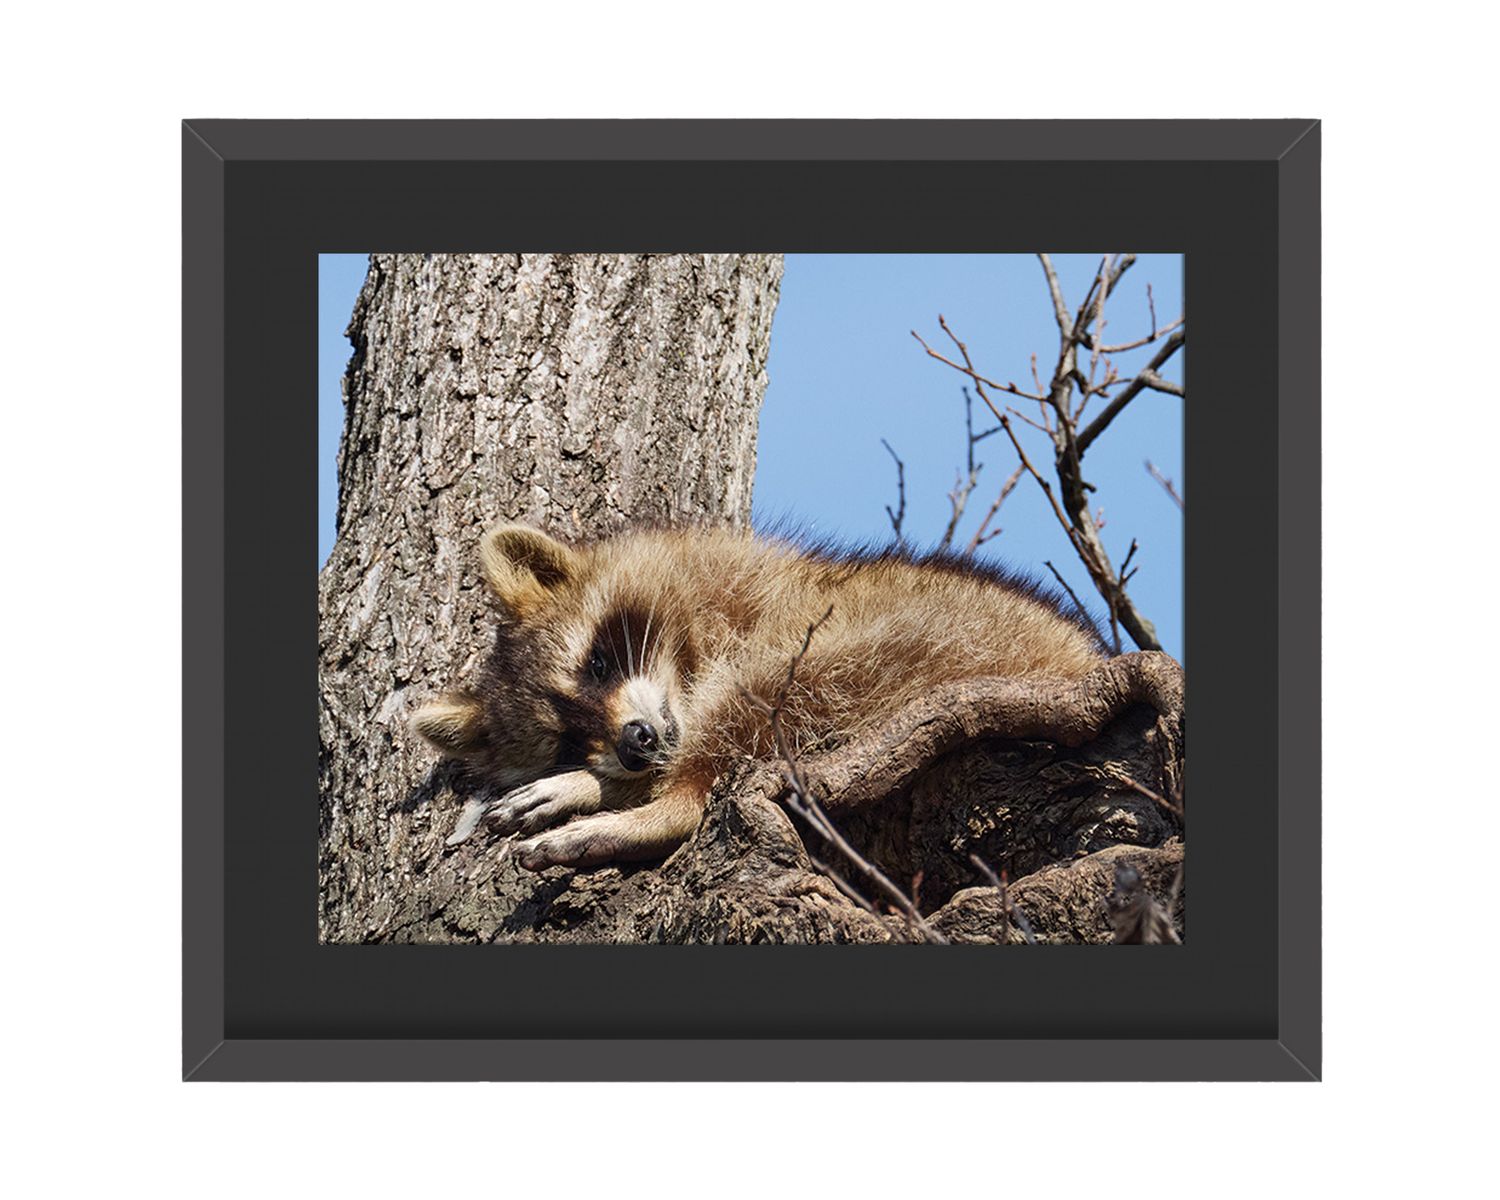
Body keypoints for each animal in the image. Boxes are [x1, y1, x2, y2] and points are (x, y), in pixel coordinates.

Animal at [412, 522, 1108, 872]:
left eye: (599, 664)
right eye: (567, 737)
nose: (633, 744)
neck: (683, 659)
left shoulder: (755, 594)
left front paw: (611, 785)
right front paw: (598, 776)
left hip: (921, 636)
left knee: (752, 698)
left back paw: (654, 809)